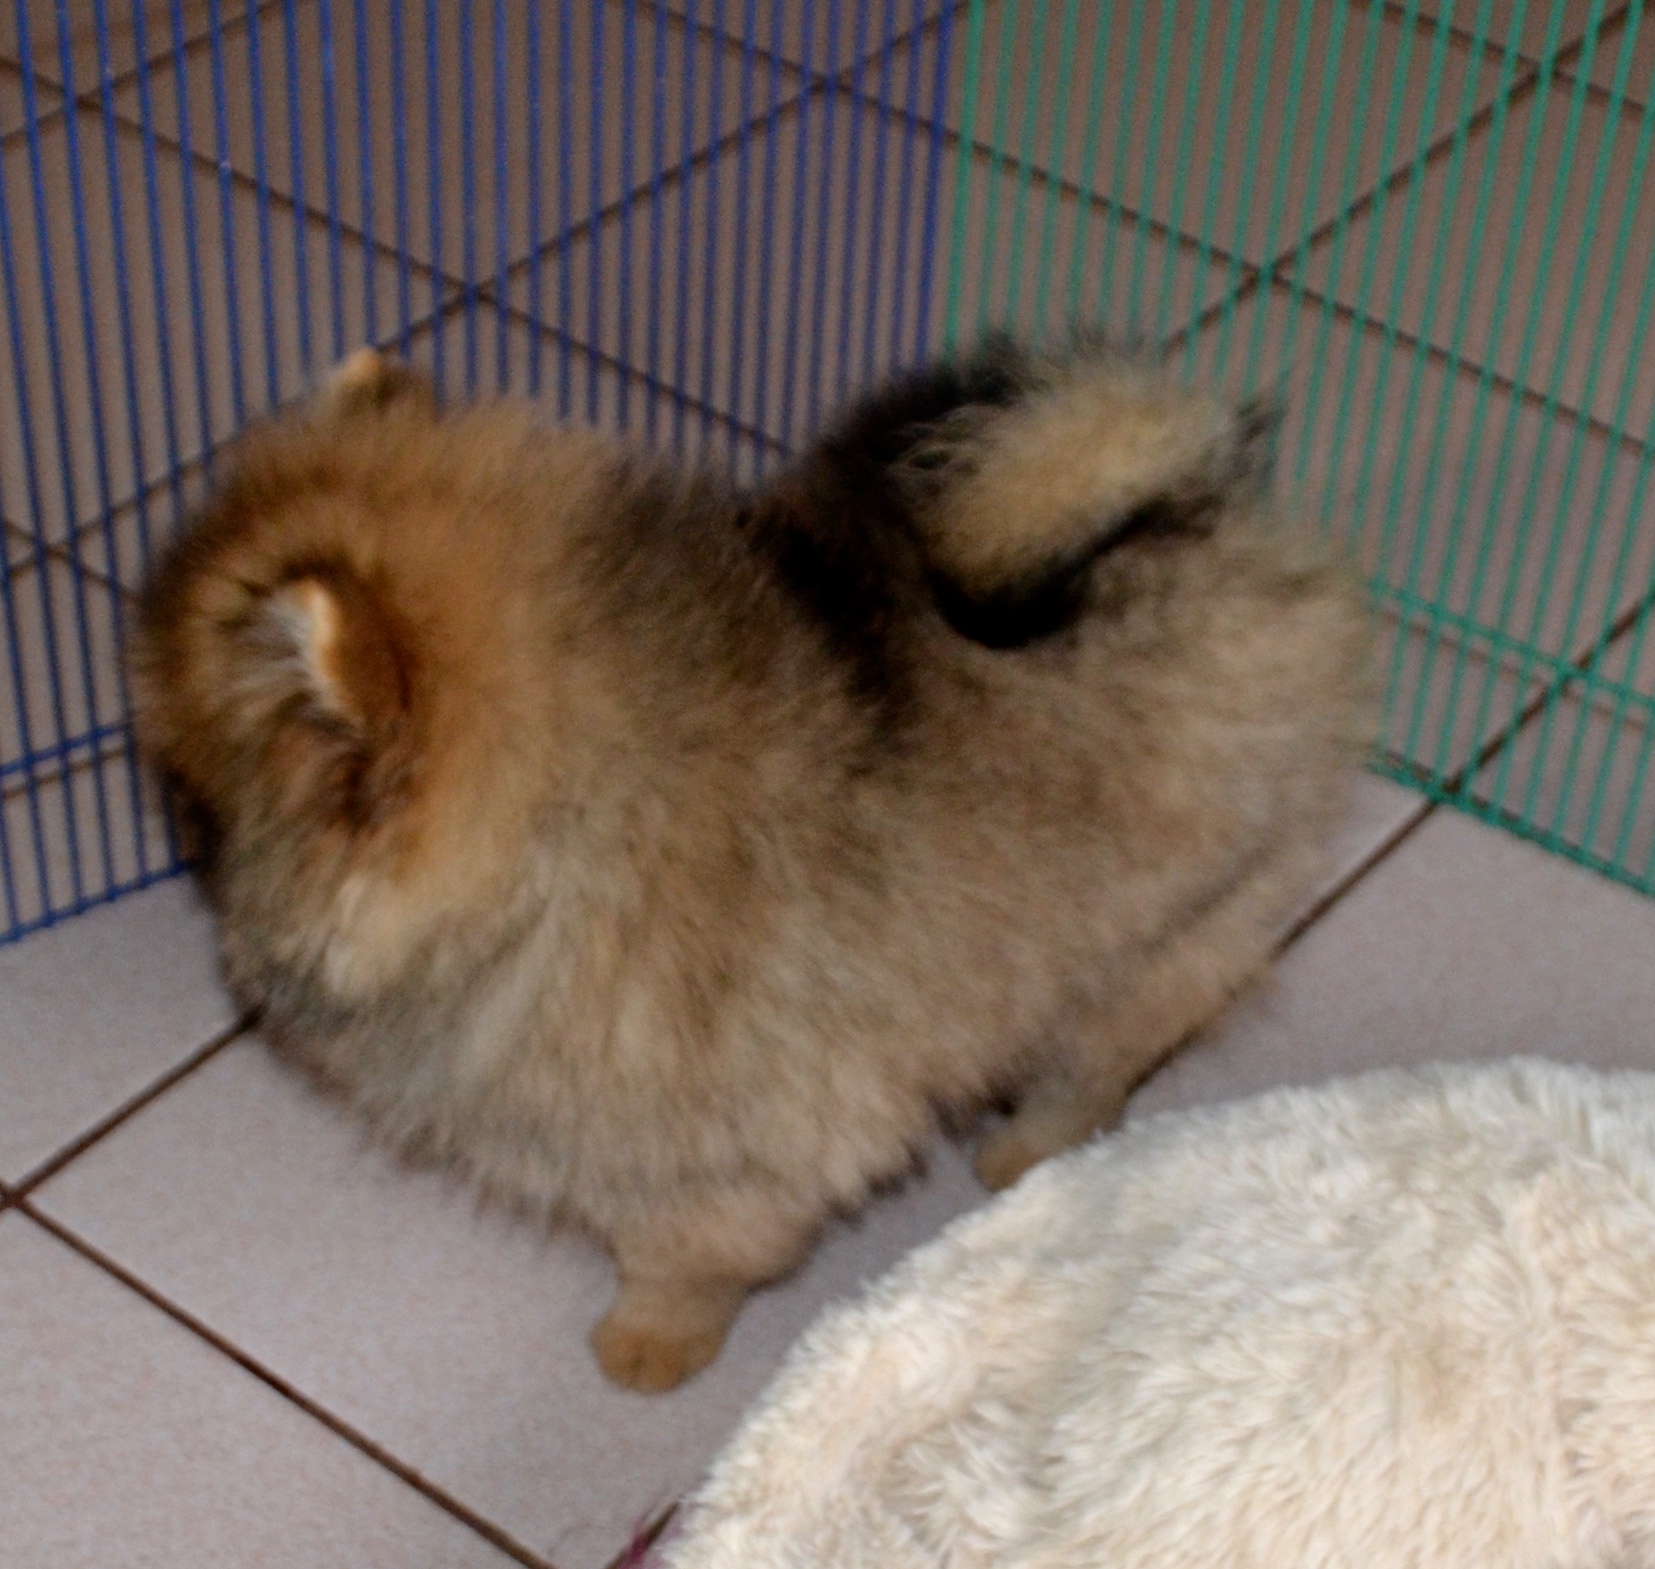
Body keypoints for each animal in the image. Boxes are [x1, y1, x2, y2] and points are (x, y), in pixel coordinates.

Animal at [131, 336, 1373, 1391]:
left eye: (189, 786)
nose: (173, 831)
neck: (566, 818)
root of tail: (1199, 513)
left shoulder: (711, 1156)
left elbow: (679, 1255)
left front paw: (647, 1343)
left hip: (1170, 921)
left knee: (1107, 1050)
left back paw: (1026, 1147)